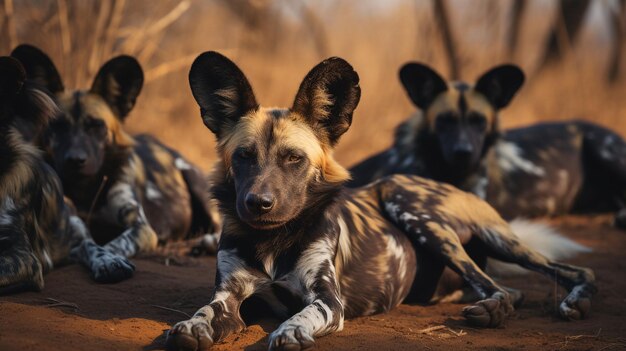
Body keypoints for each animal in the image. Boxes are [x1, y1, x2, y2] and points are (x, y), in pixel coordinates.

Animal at [10, 44, 222, 258]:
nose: (76, 160)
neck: (86, 190)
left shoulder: (141, 228)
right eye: (58, 126)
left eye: (96, 126)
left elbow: (114, 247)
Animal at [166, 52, 596, 351]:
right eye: (243, 156)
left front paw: (290, 331)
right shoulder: (229, 296)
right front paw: (190, 327)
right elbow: (205, 311)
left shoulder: (327, 300)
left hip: (415, 208)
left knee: (560, 275)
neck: (273, 239)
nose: (259, 203)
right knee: (506, 289)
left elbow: (302, 315)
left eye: (293, 158)